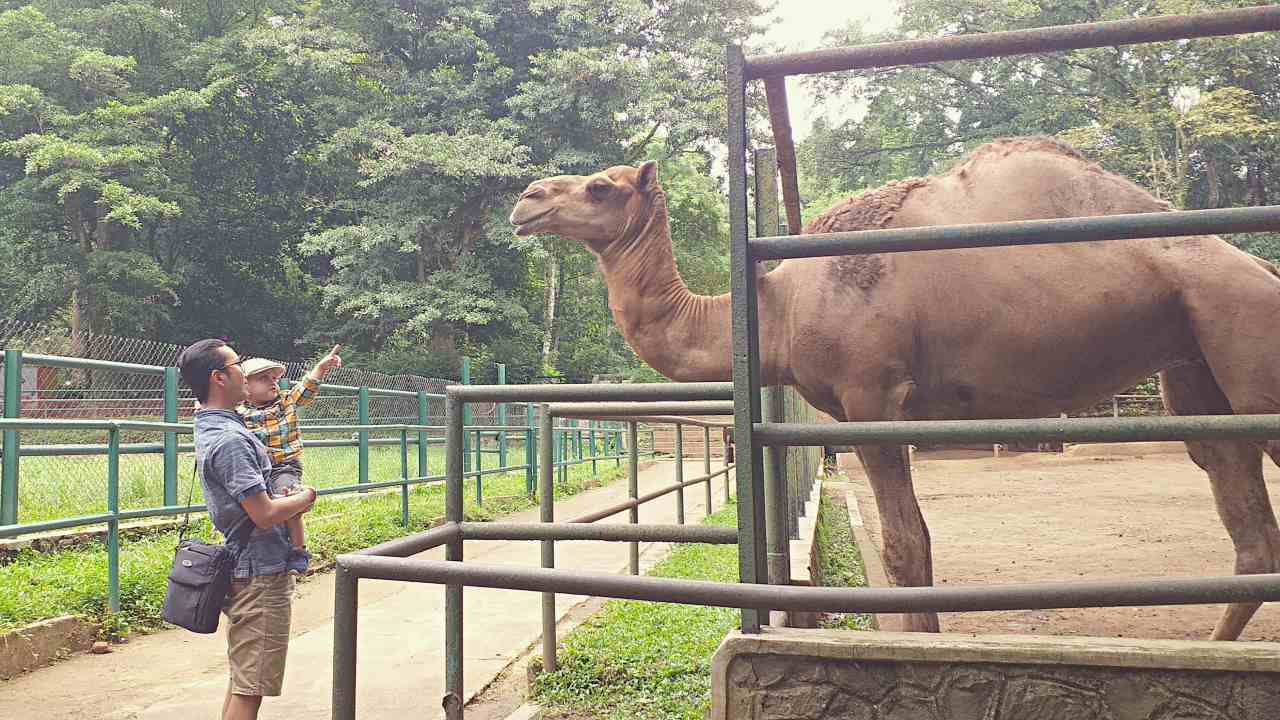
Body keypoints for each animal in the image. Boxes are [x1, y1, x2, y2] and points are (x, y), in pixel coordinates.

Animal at [509, 137, 1280, 635]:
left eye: (600, 186)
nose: (525, 199)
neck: (778, 303)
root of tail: (1256, 268)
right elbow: (915, 545)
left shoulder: (871, 395)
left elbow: (907, 548)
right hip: (1192, 362)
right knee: (1248, 529)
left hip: (1248, 344)